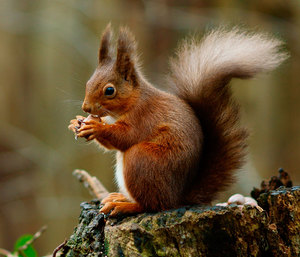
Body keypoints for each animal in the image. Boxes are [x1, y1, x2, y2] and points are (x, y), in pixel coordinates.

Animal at [69, 24, 288, 216]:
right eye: (88, 82)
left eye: (109, 90)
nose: (86, 108)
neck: (133, 101)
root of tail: (177, 198)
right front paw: (76, 122)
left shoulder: (144, 116)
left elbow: (125, 136)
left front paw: (95, 127)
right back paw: (120, 198)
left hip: (142, 160)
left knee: (153, 205)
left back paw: (126, 206)